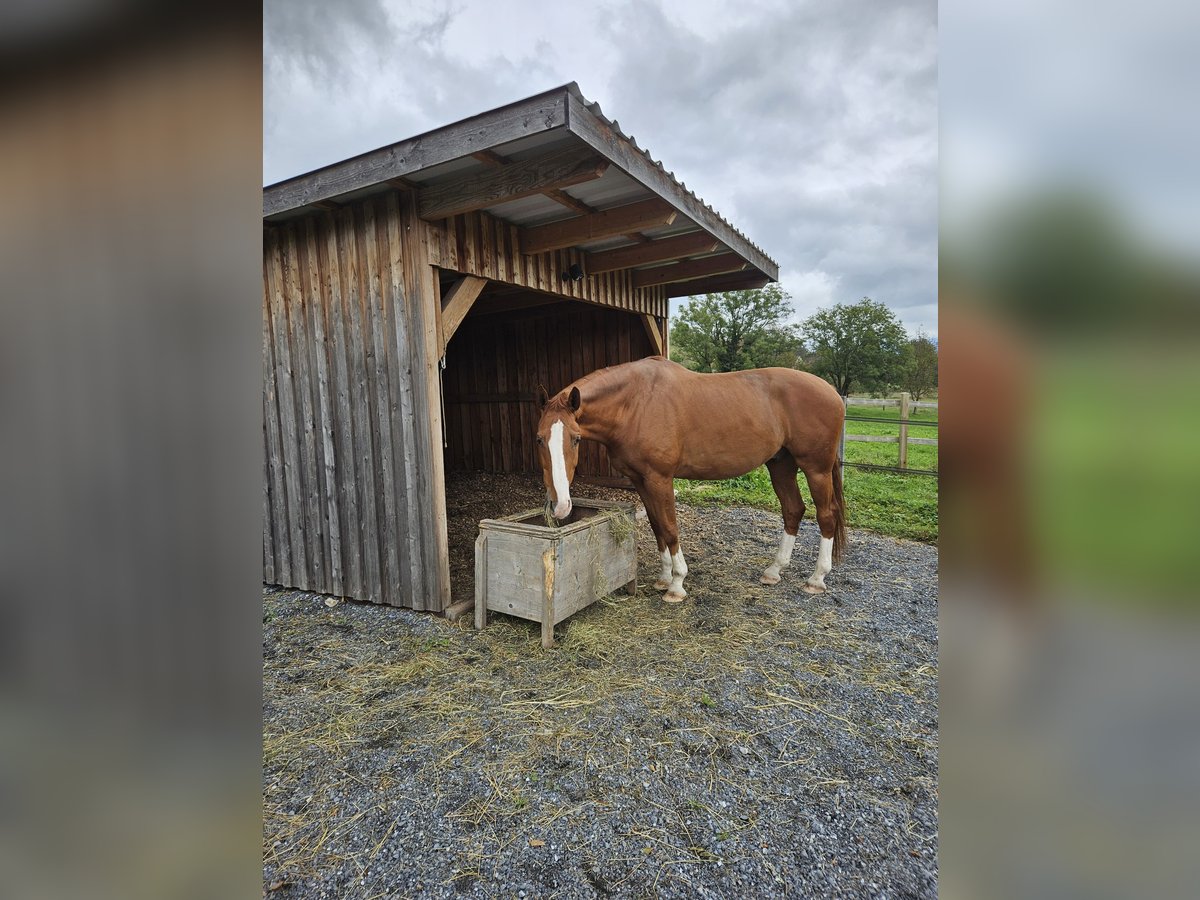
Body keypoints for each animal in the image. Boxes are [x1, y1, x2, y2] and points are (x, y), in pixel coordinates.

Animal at [540, 355, 849, 602]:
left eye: (576, 439)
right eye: (539, 439)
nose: (560, 506)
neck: (636, 404)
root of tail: (832, 392)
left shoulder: (660, 479)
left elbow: (670, 528)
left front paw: (677, 584)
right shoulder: (641, 481)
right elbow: (657, 527)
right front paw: (664, 577)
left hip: (816, 469)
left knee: (826, 515)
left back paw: (816, 579)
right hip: (781, 465)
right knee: (793, 510)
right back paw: (774, 571)